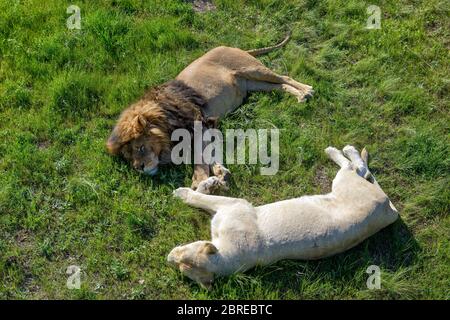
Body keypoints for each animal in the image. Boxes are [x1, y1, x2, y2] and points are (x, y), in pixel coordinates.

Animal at [107, 34, 314, 190]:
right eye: (128, 158)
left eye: (140, 148)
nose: (139, 168)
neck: (164, 117)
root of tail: (232, 46)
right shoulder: (208, 125)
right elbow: (210, 152)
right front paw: (220, 174)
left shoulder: (198, 123)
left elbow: (199, 156)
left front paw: (200, 181)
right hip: (254, 84)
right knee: (279, 86)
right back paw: (299, 95)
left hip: (253, 69)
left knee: (284, 77)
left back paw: (306, 91)